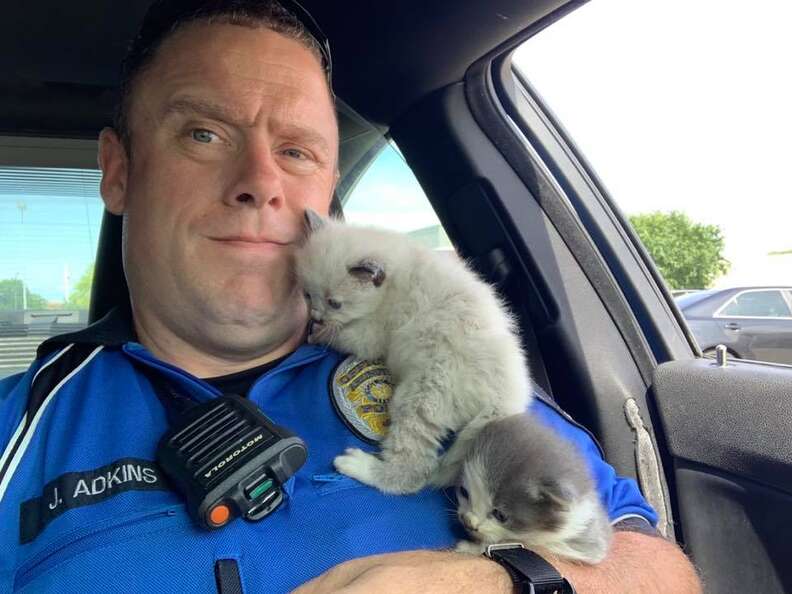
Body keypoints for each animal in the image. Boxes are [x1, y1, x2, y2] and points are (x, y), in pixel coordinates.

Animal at [296, 210, 532, 492]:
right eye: (308, 295)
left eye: (335, 303)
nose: (316, 317)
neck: (392, 282)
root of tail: (507, 399)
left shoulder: (374, 335)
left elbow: (344, 334)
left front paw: (318, 334)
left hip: (421, 396)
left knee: (414, 470)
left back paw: (359, 466)